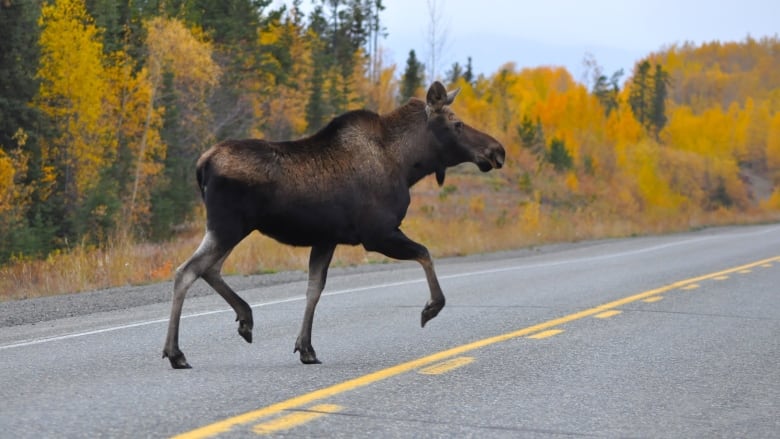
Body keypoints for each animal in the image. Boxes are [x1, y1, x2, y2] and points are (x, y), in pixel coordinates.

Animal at [164, 81, 506, 368]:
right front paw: (431, 308)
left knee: (208, 269)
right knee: (187, 271)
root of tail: (202, 163)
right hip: (228, 227)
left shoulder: (326, 239)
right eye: (457, 124)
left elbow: (314, 289)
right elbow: (425, 253)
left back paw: (244, 318)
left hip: (228, 229)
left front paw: (306, 348)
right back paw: (176, 352)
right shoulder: (377, 234)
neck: (409, 164)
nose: (497, 150)